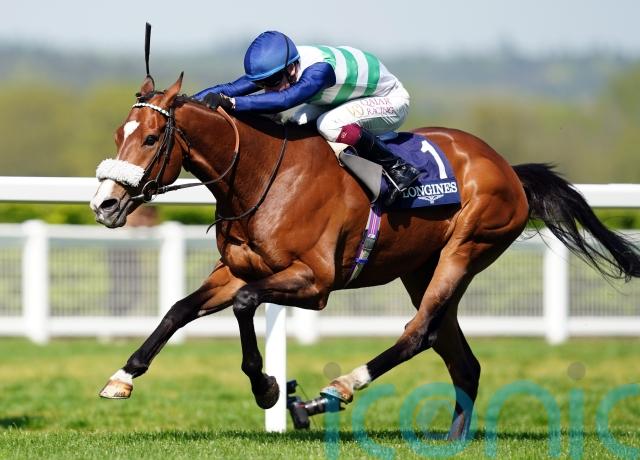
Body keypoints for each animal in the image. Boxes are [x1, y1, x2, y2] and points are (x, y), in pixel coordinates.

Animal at [90, 74, 640, 440]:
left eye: (152, 138)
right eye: (118, 134)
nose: (105, 204)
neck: (262, 174)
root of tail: (507, 167)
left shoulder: (314, 283)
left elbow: (246, 305)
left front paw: (267, 387)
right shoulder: (237, 269)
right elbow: (180, 309)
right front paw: (123, 376)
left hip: (466, 249)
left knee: (419, 333)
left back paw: (331, 392)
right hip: (422, 268)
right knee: (457, 355)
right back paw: (452, 438)